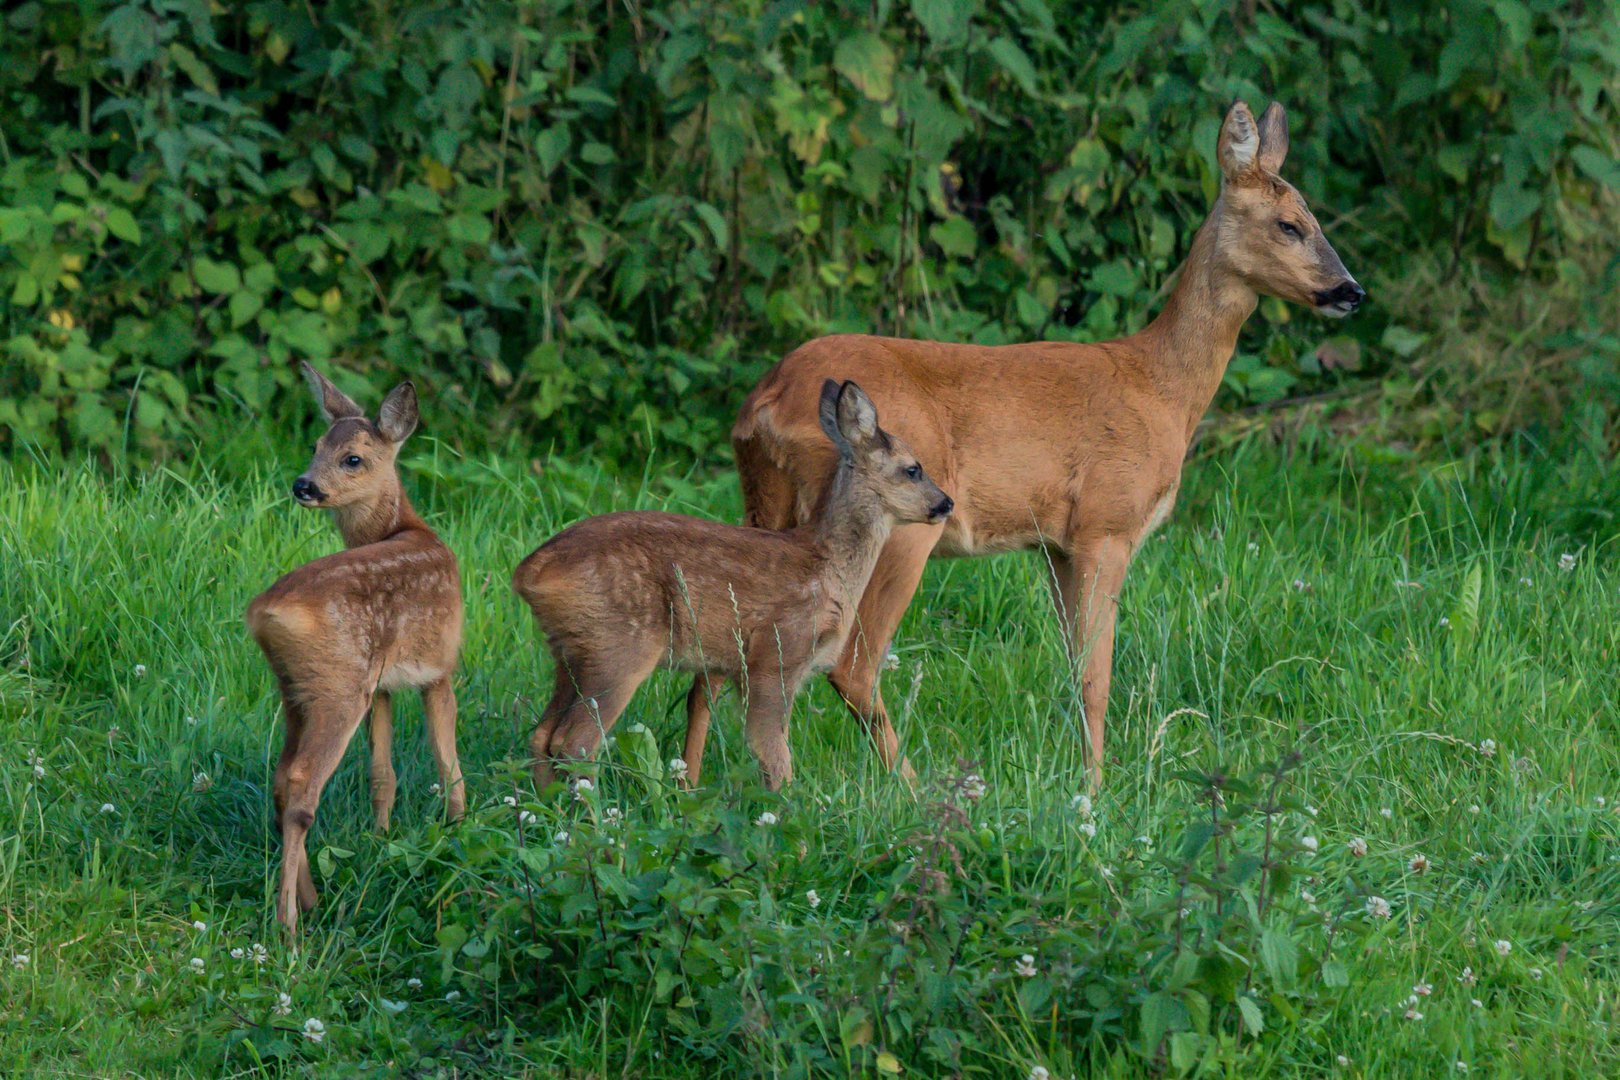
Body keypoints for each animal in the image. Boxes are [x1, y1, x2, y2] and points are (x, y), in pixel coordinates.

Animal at [246, 365, 466, 932]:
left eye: (351, 457)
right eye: (315, 445)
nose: (304, 484)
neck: (406, 527)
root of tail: (263, 612)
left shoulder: (383, 685)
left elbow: (382, 773)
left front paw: (381, 837)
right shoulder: (441, 666)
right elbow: (448, 764)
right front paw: (461, 831)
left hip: (297, 690)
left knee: (280, 780)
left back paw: (309, 899)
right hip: (339, 687)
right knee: (301, 783)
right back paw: (289, 926)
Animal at [511, 383, 952, 790]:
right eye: (913, 469)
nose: (946, 503)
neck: (827, 569)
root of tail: (528, 573)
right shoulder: (774, 653)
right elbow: (773, 755)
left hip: (569, 651)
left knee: (542, 735)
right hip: (618, 648)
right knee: (575, 742)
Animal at [690, 99, 1360, 786]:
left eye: (1313, 218)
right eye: (1289, 224)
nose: (1351, 290)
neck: (1161, 391)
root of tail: (762, 404)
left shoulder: (1055, 545)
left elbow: (1074, 668)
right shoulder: (1105, 525)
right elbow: (1097, 676)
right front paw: (1096, 787)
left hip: (766, 504)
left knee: (717, 661)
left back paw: (684, 784)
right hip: (896, 523)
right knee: (853, 665)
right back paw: (910, 789)